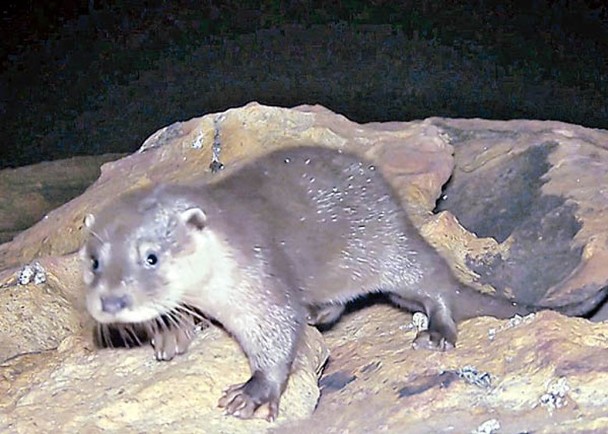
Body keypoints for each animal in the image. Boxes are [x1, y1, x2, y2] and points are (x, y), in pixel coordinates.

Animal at [81, 145, 528, 420]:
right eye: (94, 261)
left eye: (151, 257)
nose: (112, 302)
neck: (227, 248)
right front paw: (170, 332)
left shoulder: (262, 281)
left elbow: (279, 333)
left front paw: (254, 393)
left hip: (391, 249)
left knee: (435, 281)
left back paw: (436, 331)